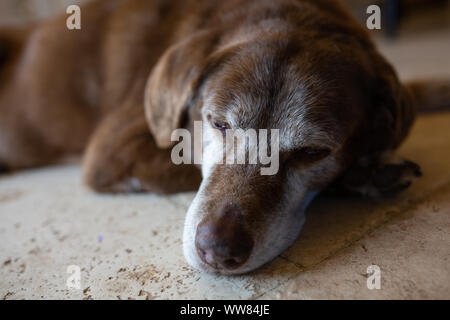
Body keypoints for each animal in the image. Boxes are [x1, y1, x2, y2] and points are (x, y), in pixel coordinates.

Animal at [0, 0, 450, 276]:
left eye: (311, 152)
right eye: (217, 124)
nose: (217, 251)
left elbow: (416, 90)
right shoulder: (113, 150)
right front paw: (367, 172)